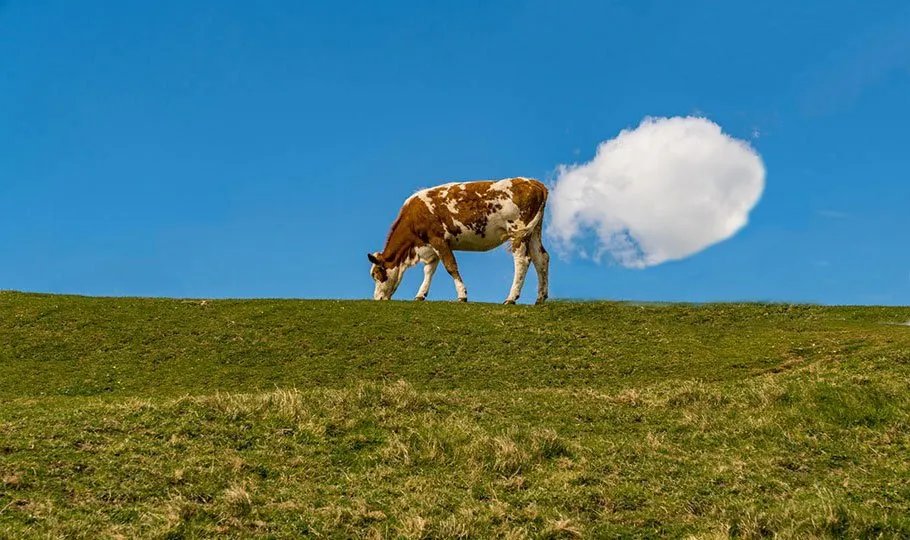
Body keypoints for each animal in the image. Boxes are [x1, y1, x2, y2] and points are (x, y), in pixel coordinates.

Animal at [368, 177, 549, 304]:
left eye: (377, 274)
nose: (377, 299)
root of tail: (534, 182)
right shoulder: (430, 246)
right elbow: (429, 271)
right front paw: (420, 295)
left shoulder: (438, 239)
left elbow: (450, 267)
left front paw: (462, 295)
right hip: (534, 231)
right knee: (541, 258)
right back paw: (540, 298)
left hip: (517, 231)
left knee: (522, 260)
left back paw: (511, 298)